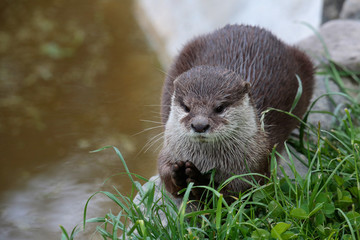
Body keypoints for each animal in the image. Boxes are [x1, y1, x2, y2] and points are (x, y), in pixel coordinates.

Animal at [157, 24, 312, 201]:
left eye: (219, 108)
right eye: (186, 107)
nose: (199, 125)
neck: (205, 160)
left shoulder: (257, 160)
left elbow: (237, 192)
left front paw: (199, 180)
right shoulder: (169, 150)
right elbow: (164, 173)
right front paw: (178, 173)